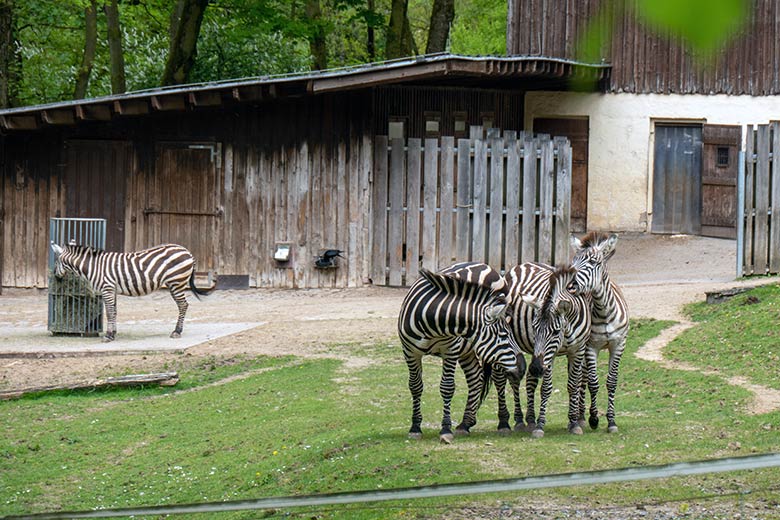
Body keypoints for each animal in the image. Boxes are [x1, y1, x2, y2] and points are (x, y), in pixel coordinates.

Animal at [50, 243, 212, 342]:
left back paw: (177, 331)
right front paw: (113, 333)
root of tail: (187, 252)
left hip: (176, 283)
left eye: (56, 261)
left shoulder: (107, 288)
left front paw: (108, 336)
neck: (93, 267)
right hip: (176, 283)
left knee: (183, 305)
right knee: (183, 305)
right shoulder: (113, 290)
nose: (56, 277)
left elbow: (109, 312)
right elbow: (114, 311)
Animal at [396, 264, 524, 442]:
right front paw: (415, 427)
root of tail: (485, 266)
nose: (522, 368)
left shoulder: (450, 350)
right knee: (475, 378)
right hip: (467, 351)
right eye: (504, 335)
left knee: (499, 380)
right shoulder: (409, 351)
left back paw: (503, 423)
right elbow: (415, 386)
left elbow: (447, 387)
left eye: (508, 334)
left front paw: (445, 429)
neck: (431, 325)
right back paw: (465, 423)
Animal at [500, 262, 592, 436]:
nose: (536, 368)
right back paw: (519, 420)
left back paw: (530, 419)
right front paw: (540, 425)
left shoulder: (578, 350)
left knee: (530, 380)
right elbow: (546, 388)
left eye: (555, 332)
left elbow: (573, 385)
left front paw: (574, 422)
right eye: (535, 329)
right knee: (515, 379)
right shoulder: (550, 355)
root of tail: (522, 265)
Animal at [568, 234, 632, 432]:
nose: (570, 285)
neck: (604, 311)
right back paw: (580, 416)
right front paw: (594, 418)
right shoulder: (591, 347)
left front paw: (611, 421)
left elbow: (611, 382)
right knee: (582, 378)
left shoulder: (619, 344)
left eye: (593, 262)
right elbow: (593, 383)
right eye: (573, 262)